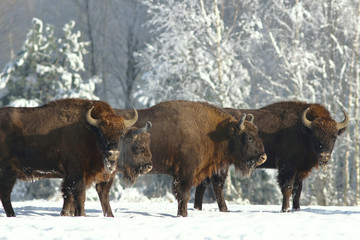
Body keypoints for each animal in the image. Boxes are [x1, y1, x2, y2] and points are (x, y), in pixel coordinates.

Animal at [0, 98, 150, 217]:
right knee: (5, 194)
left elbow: (69, 197)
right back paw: (13, 215)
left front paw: (66, 214)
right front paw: (81, 214)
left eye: (121, 133)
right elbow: (79, 194)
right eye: (101, 133)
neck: (89, 132)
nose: (112, 153)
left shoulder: (73, 177)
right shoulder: (76, 173)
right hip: (9, 171)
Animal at [95, 100, 268, 217]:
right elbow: (184, 194)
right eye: (248, 137)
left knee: (102, 190)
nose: (263, 157)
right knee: (102, 190)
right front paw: (183, 215)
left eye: (256, 133)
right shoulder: (186, 172)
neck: (214, 132)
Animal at [194, 101, 348, 212]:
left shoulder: (300, 170)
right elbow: (287, 188)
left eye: (334, 137)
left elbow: (297, 190)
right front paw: (285, 210)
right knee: (217, 184)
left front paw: (297, 209)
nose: (324, 156)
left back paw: (198, 208)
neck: (303, 130)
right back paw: (224, 209)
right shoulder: (287, 167)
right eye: (315, 136)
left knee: (203, 183)